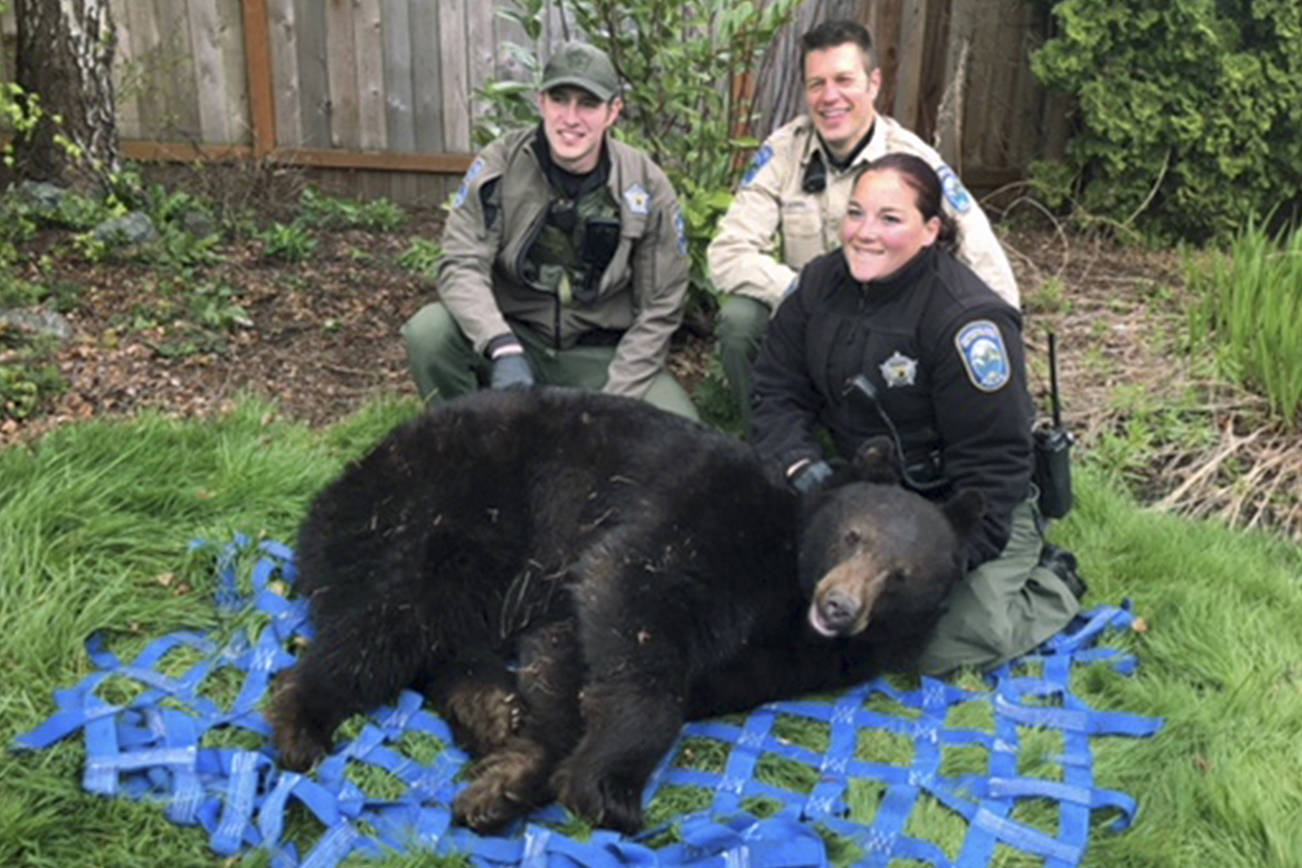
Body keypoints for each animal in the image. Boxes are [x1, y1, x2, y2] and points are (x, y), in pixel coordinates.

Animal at [269, 387, 979, 832]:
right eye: (854, 535)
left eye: (902, 574)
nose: (838, 607)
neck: (787, 577)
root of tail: (344, 478)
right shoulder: (710, 517)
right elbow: (633, 592)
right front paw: (608, 790)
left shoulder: (785, 660)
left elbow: (570, 659)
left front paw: (509, 780)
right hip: (447, 505)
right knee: (394, 613)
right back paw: (303, 718)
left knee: (439, 630)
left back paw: (488, 706)